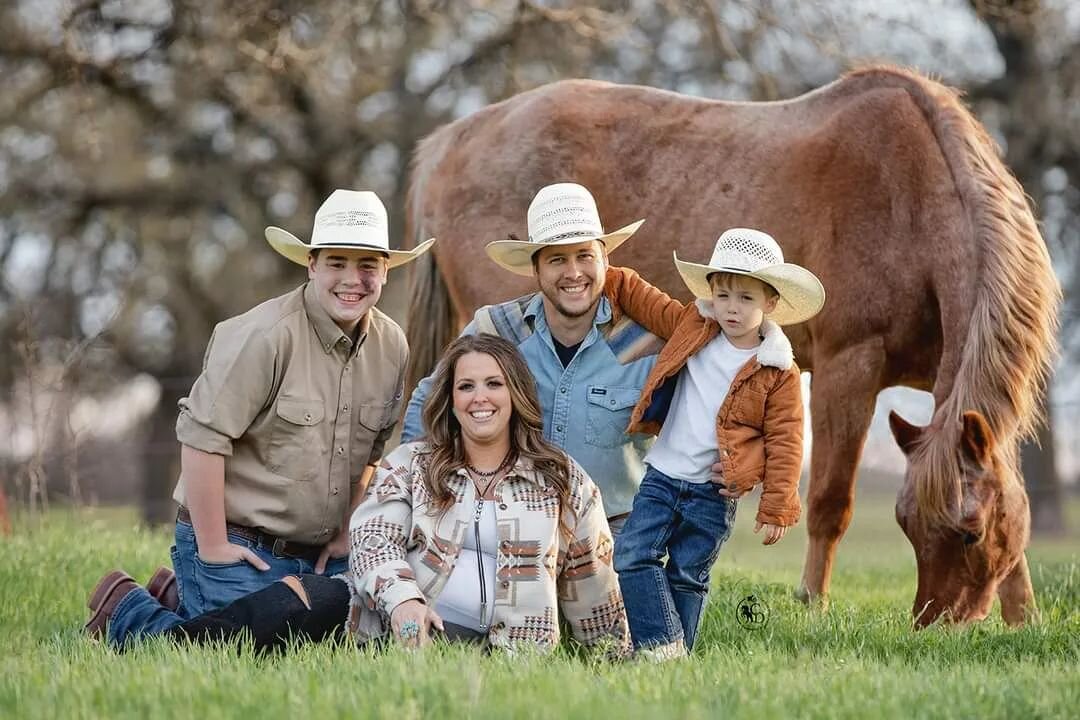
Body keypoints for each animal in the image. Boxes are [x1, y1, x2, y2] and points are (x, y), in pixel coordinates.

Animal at [401, 66, 1058, 626]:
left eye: (970, 532)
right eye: (908, 524)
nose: (937, 626)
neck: (908, 195)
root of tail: (452, 140)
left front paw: (1023, 619)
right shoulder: (849, 367)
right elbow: (830, 502)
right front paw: (811, 607)